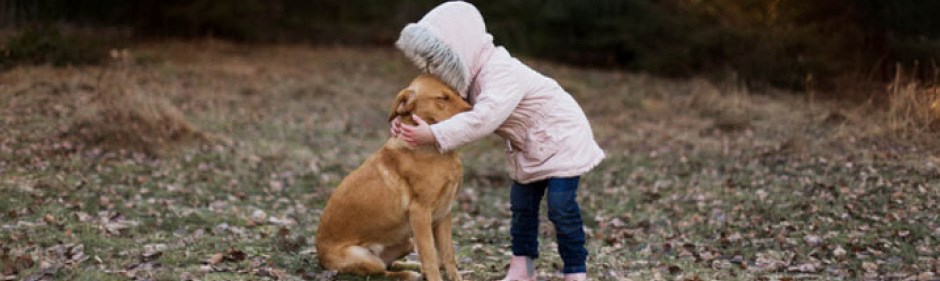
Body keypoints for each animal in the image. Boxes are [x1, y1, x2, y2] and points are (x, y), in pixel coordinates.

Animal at [318, 75, 470, 280]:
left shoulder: (444, 213)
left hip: (407, 242)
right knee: (382, 271)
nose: (472, 111)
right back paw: (408, 274)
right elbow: (430, 257)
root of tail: (320, 257)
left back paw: (413, 267)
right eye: (442, 98)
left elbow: (448, 256)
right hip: (365, 256)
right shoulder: (420, 213)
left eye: (459, 94)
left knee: (391, 263)